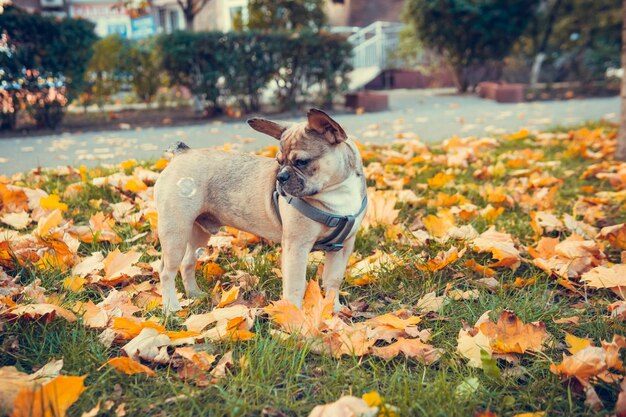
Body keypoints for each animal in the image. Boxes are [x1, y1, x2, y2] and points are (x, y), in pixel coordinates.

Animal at [154, 109, 366, 310]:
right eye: (279, 162)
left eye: (302, 162)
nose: (280, 177)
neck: (336, 191)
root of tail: (182, 154)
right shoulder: (297, 246)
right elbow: (295, 285)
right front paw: (294, 315)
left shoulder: (343, 247)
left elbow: (332, 280)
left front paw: (334, 310)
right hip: (176, 232)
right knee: (166, 271)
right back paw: (171, 307)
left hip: (198, 233)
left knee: (187, 262)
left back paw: (194, 294)